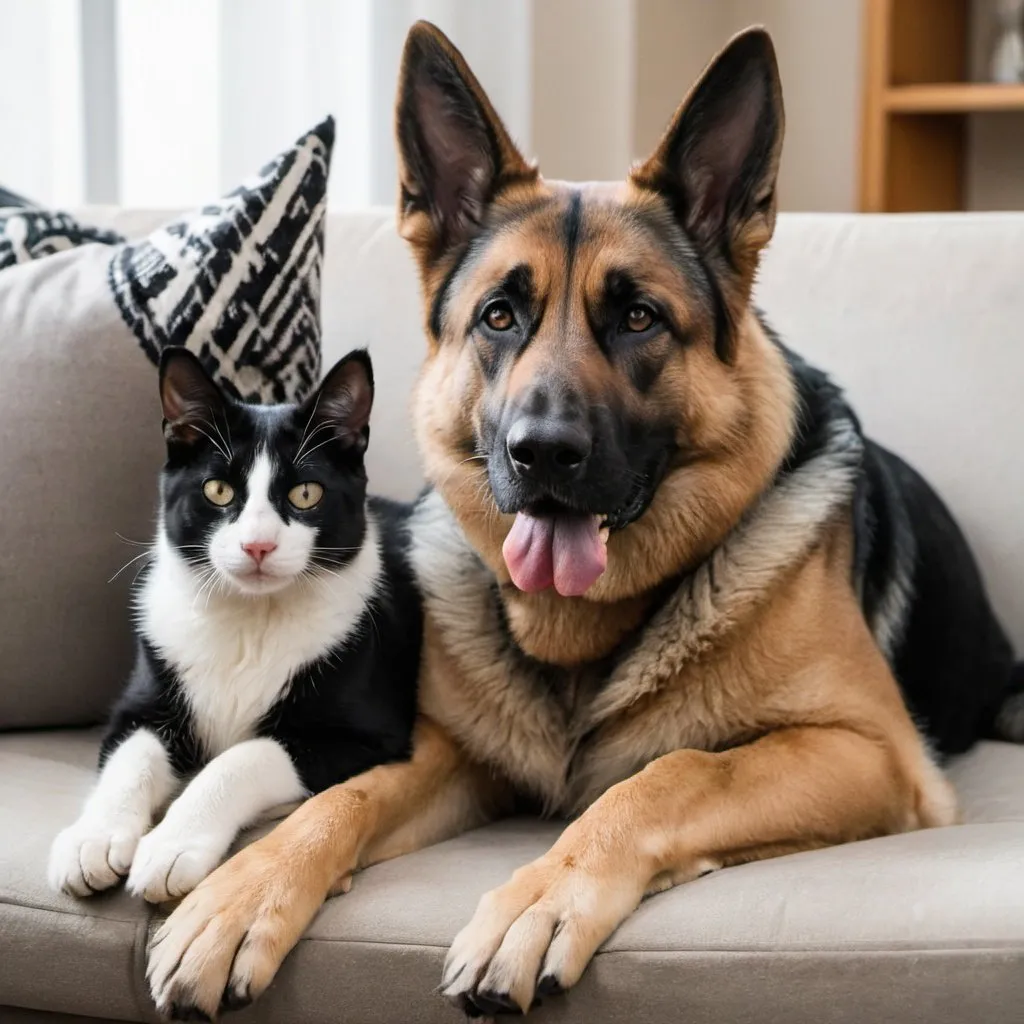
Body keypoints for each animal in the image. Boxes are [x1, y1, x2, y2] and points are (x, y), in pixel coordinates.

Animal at [49, 348, 417, 901]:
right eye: (218, 489)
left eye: (306, 494)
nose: (257, 545)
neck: (250, 618)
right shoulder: (145, 695)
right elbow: (130, 754)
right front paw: (91, 840)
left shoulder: (370, 737)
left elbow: (242, 757)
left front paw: (172, 846)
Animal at [146, 22, 1024, 1015]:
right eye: (499, 316)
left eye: (639, 317)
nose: (542, 454)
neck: (579, 635)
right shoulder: (447, 749)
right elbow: (343, 797)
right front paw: (241, 893)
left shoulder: (869, 752)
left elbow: (671, 774)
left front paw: (540, 901)